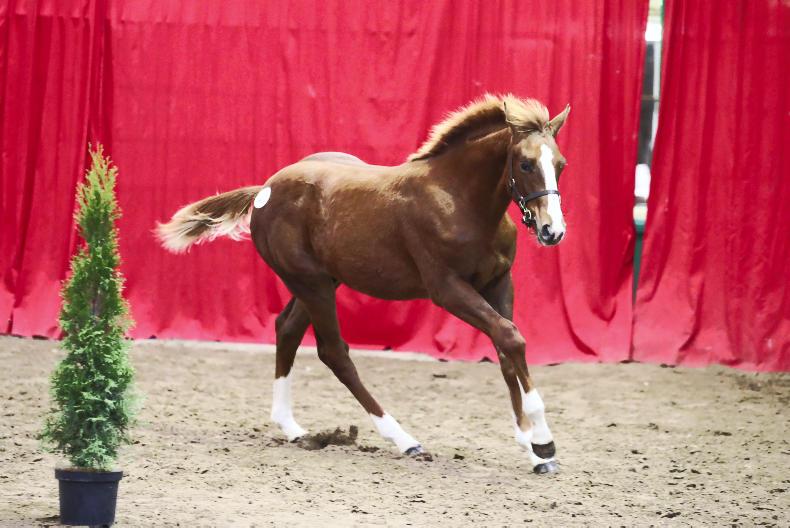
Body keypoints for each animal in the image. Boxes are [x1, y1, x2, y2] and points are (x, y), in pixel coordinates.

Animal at [157, 94, 570, 474]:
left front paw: (531, 446)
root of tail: (265, 188)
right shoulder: (447, 288)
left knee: (287, 330)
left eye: (560, 164)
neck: (458, 200)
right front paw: (543, 442)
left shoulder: (499, 282)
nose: (553, 232)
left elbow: (505, 347)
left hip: (321, 280)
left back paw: (293, 429)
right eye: (525, 163)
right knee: (333, 352)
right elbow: (511, 337)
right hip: (311, 283)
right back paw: (403, 439)